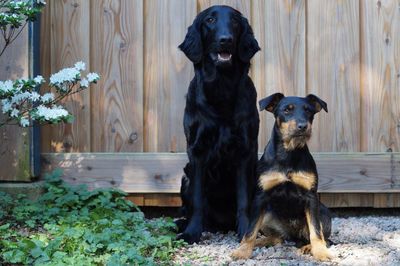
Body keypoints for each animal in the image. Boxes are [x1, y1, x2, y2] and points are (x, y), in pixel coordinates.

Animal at [177, 5, 260, 243]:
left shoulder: (245, 150)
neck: (222, 88)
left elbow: (243, 199)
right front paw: (192, 232)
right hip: (185, 175)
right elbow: (197, 200)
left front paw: (245, 231)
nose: (225, 40)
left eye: (235, 21)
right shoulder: (197, 151)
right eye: (210, 20)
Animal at [231, 94, 332, 262]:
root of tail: (293, 234)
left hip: (323, 213)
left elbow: (316, 231)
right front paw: (242, 251)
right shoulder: (260, 197)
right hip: (267, 215)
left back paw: (308, 247)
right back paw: (260, 241)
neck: (288, 152)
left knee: (324, 238)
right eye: (286, 110)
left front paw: (321, 252)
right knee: (277, 237)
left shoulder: (311, 198)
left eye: (309, 111)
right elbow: (250, 230)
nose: (303, 126)